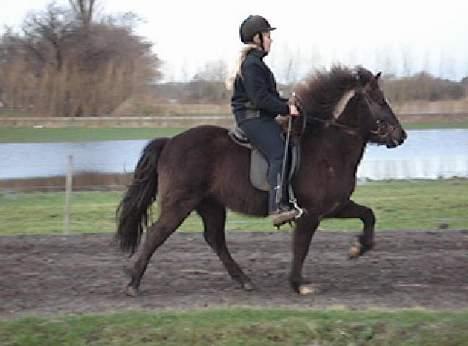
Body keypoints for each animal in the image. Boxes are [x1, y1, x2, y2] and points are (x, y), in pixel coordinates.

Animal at [116, 66, 406, 296]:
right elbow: (301, 247)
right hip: (180, 203)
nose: (401, 135)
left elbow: (368, 215)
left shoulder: (335, 206)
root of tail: (170, 142)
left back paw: (244, 280)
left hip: (210, 205)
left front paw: (358, 248)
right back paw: (133, 283)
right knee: (157, 233)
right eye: (379, 101)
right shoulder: (311, 213)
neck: (329, 146)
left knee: (215, 239)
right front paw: (299, 284)